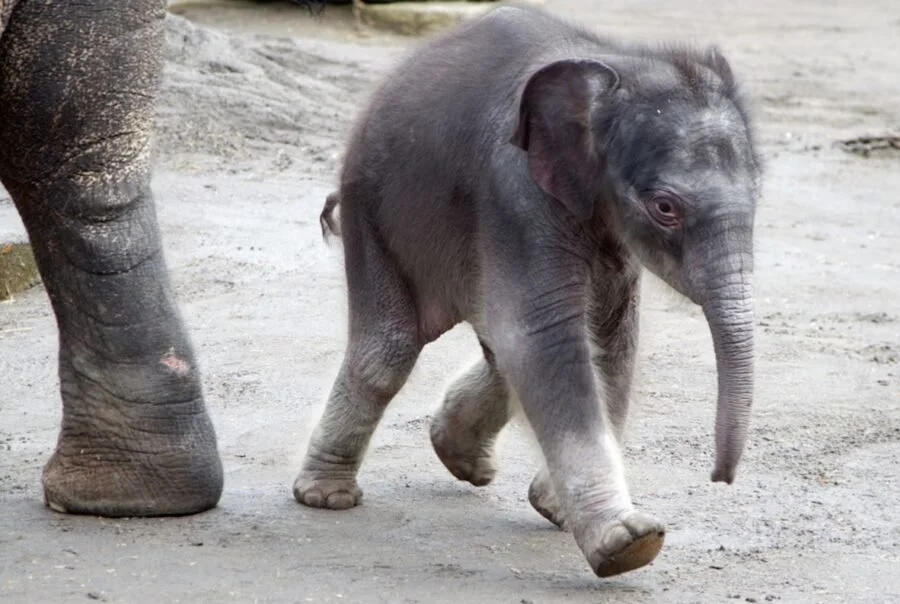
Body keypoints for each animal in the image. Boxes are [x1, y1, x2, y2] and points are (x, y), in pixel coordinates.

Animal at [292, 6, 761, 579]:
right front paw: (629, 543)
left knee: (496, 350)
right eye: (665, 208)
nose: (720, 478)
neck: (615, 65)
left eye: (758, 193)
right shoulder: (515, 191)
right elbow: (545, 338)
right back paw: (326, 497)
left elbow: (608, 339)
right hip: (371, 208)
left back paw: (466, 464)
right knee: (389, 350)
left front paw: (558, 510)